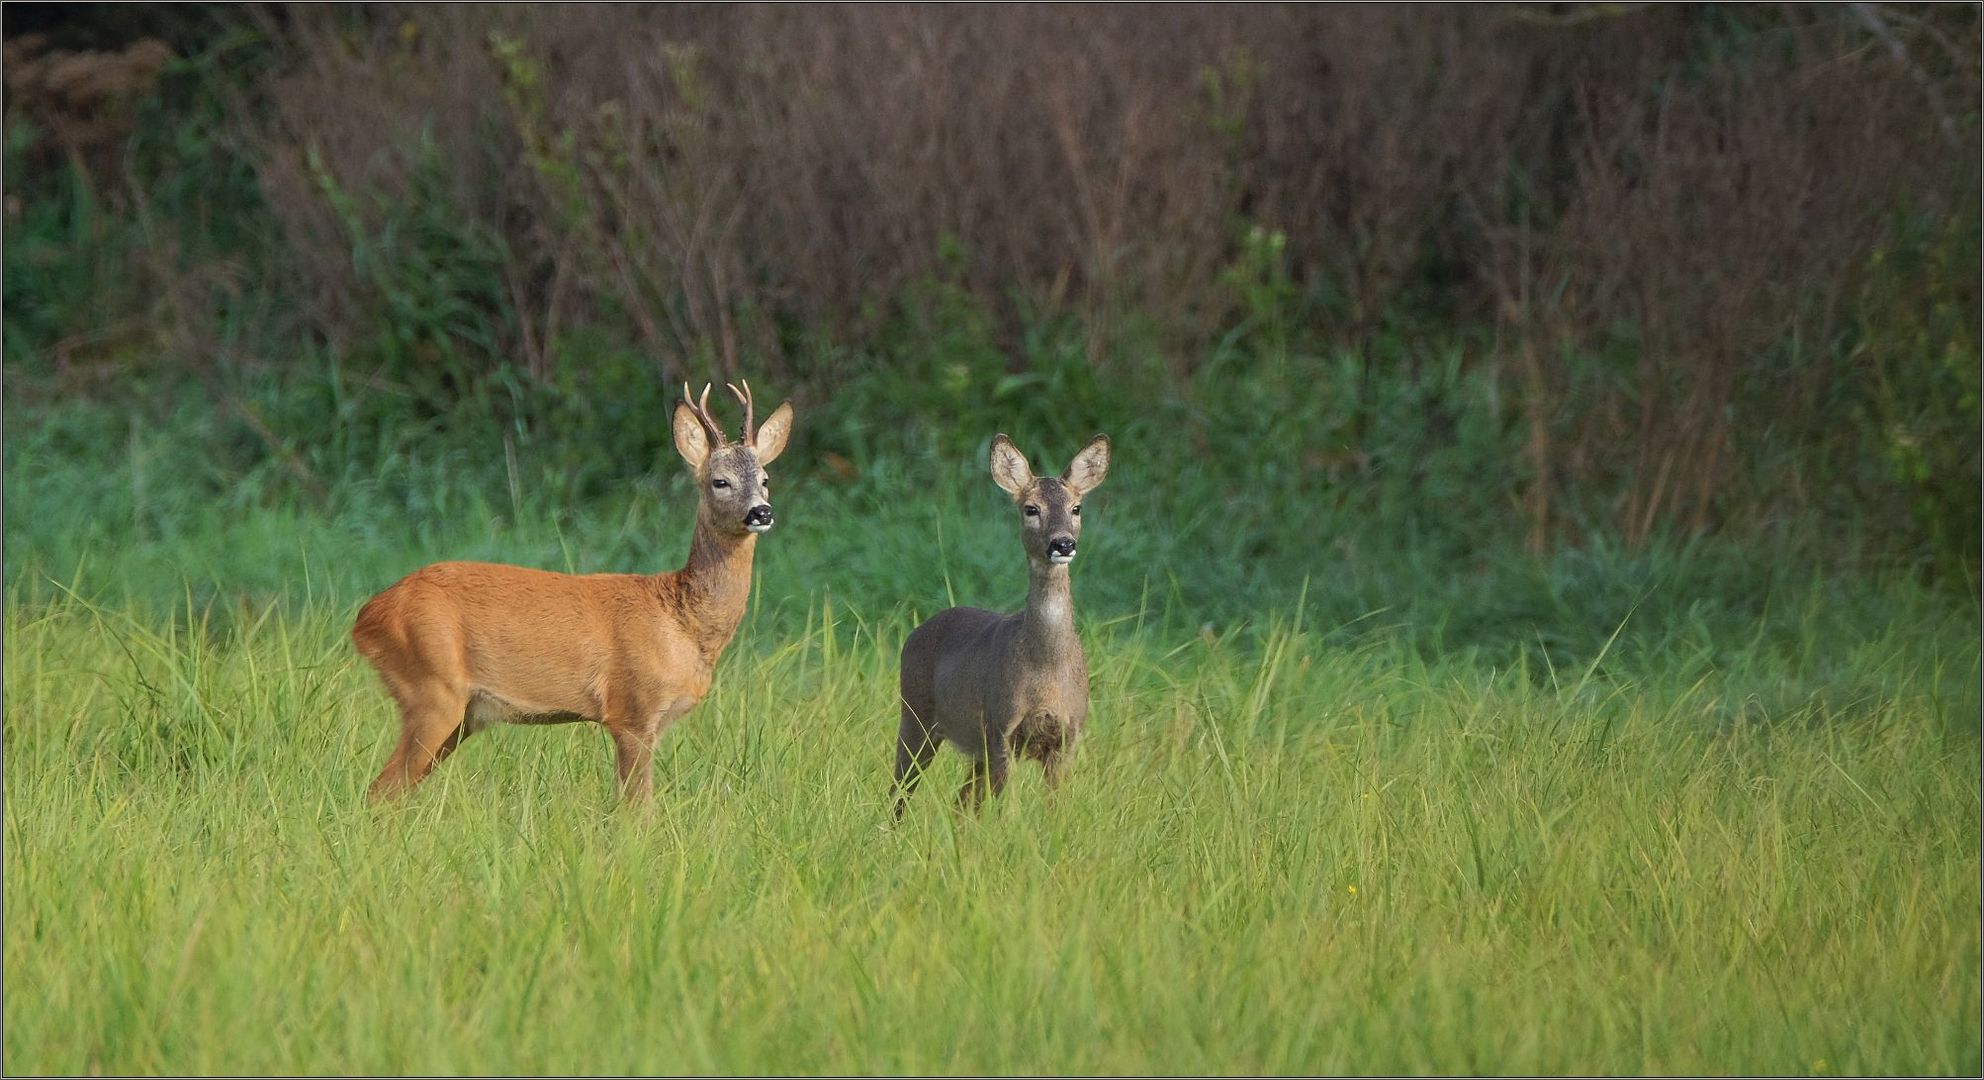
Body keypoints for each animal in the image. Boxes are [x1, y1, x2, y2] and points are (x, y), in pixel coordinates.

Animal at [353, 379, 793, 802]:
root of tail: (366, 616)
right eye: (721, 481)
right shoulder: (632, 710)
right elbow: (637, 810)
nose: (761, 512)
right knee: (380, 790)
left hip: (462, 715)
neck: (682, 621)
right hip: (432, 687)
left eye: (765, 480)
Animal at [892, 434, 1111, 813]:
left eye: (1076, 508)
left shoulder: (1068, 734)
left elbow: (1056, 808)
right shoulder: (1001, 730)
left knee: (961, 801)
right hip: (915, 715)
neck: (1046, 670)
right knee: (899, 791)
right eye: (1031, 509)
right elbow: (1006, 810)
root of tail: (917, 630)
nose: (1063, 543)